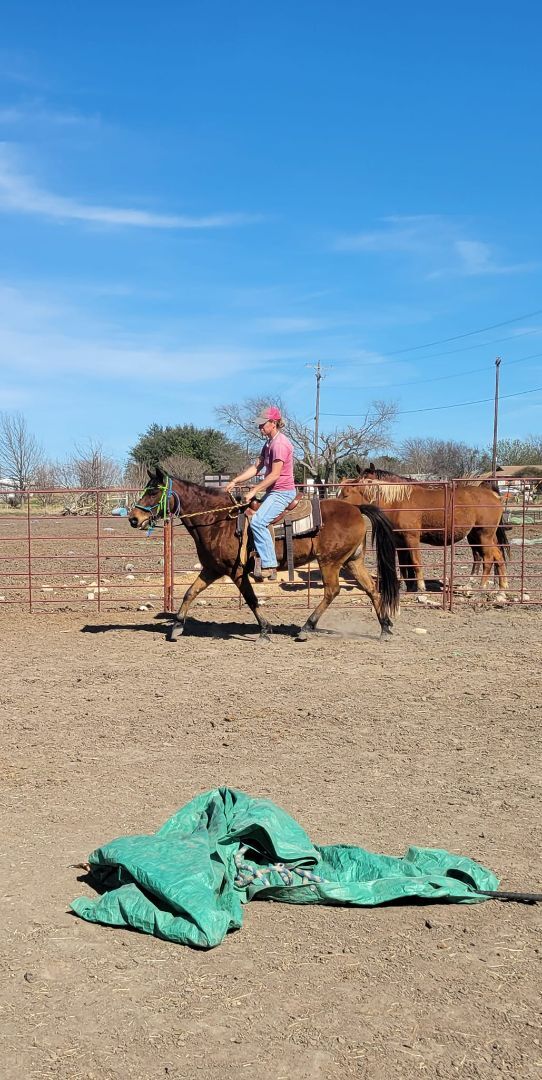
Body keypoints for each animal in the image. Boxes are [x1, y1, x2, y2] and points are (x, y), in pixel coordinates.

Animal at [128, 466, 400, 642]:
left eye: (153, 492)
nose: (133, 518)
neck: (217, 520)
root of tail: (356, 508)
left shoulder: (236, 572)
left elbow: (251, 599)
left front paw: (265, 630)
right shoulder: (212, 569)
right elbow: (189, 593)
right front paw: (176, 627)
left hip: (330, 562)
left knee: (332, 591)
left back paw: (306, 628)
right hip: (352, 561)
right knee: (372, 589)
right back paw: (385, 629)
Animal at [338, 464, 509, 597]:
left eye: (345, 494)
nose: (336, 508)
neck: (398, 501)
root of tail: (493, 495)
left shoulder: (412, 538)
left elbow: (415, 562)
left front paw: (420, 587)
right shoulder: (399, 541)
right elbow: (404, 565)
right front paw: (406, 586)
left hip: (483, 536)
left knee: (489, 558)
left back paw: (480, 588)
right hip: (478, 536)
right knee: (495, 557)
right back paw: (500, 589)